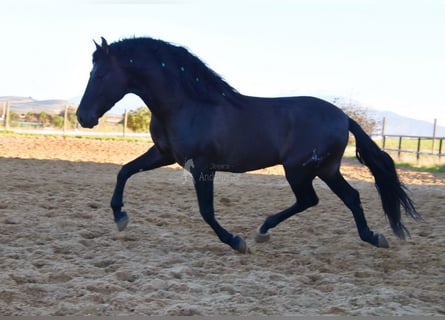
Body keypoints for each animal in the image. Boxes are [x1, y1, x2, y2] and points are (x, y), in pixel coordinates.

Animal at [76, 37, 420, 252]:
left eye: (101, 74)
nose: (83, 117)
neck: (187, 105)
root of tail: (343, 117)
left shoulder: (201, 167)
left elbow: (206, 211)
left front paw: (235, 242)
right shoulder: (163, 154)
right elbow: (124, 171)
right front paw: (120, 218)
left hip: (300, 170)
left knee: (312, 199)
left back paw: (262, 231)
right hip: (326, 169)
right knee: (348, 197)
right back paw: (372, 237)